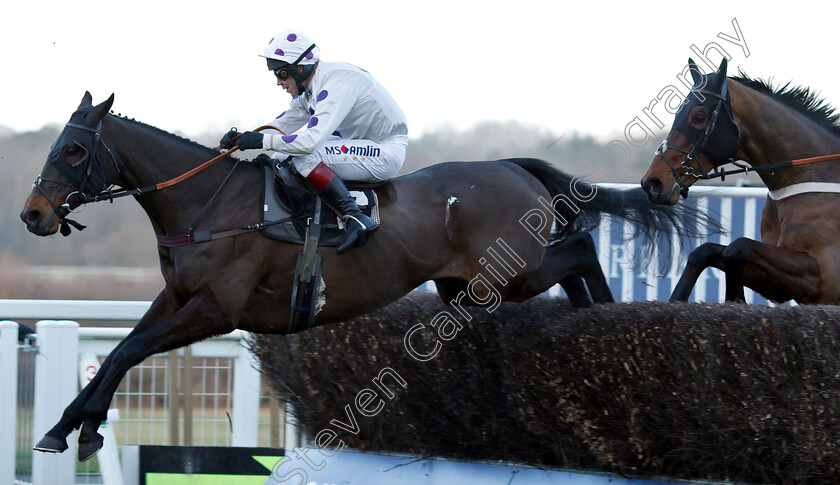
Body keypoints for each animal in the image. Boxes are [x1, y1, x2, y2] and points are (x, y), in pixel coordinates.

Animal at [19, 92, 704, 460]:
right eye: (55, 144)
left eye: (74, 149)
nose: (33, 214)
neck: (208, 204)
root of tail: (513, 167)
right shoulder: (178, 297)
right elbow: (117, 354)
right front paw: (65, 428)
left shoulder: (216, 309)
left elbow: (125, 352)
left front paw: (81, 431)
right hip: (473, 287)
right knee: (575, 258)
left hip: (512, 275)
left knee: (583, 245)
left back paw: (606, 316)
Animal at [644, 57, 840, 302]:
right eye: (677, 113)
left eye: (698, 117)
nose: (652, 182)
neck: (811, 175)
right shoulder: (780, 287)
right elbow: (705, 251)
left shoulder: (822, 278)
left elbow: (738, 246)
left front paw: (735, 296)